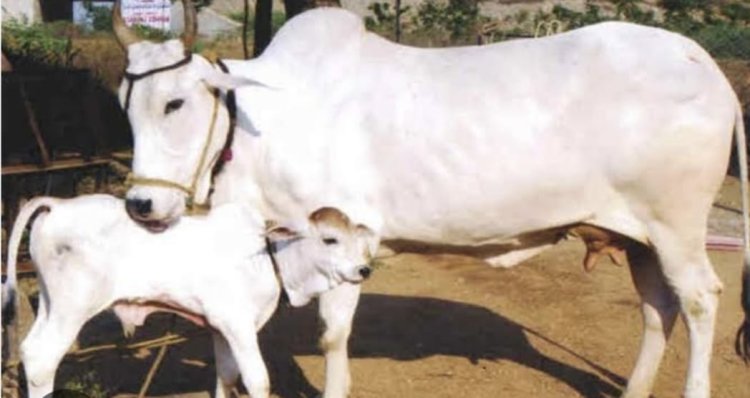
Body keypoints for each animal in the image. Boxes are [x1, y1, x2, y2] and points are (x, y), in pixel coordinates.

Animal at [0, 195, 376, 398]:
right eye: (329, 239)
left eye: (357, 239)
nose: (363, 269)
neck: (267, 256)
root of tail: (58, 204)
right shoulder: (239, 326)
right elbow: (258, 380)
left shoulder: (221, 329)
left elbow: (226, 376)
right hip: (73, 307)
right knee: (43, 360)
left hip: (51, 304)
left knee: (29, 351)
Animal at [113, 3, 750, 398]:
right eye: (125, 101)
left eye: (175, 102)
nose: (141, 205)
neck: (260, 123)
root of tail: (702, 62)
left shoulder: (345, 235)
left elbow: (332, 335)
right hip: (637, 236)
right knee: (658, 308)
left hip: (677, 227)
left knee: (699, 301)